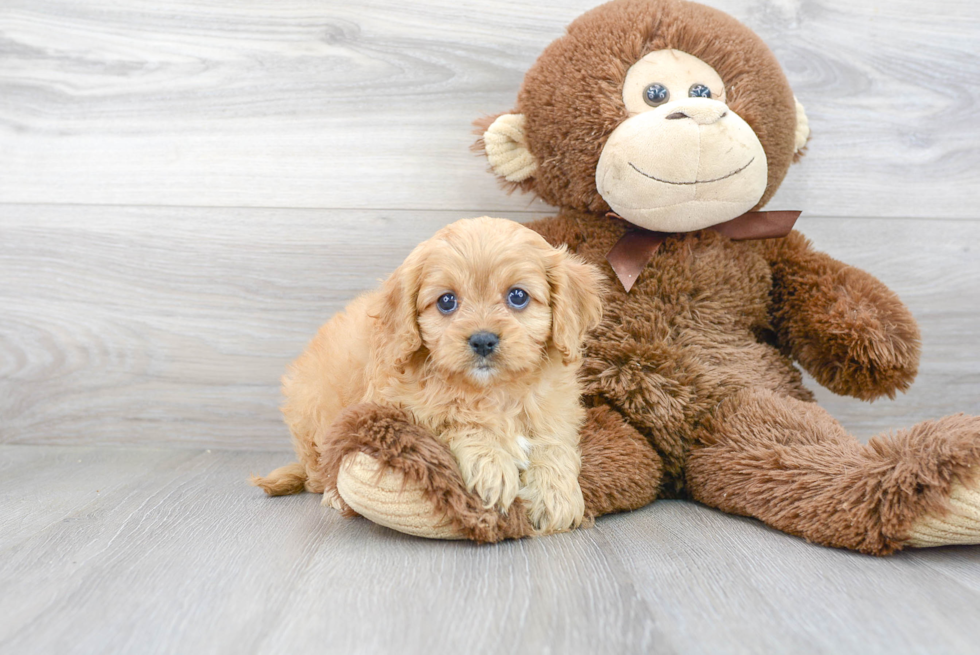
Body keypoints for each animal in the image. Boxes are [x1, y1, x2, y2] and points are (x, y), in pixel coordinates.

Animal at [253, 218, 604, 536]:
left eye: (518, 296)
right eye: (447, 301)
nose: (483, 340)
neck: (491, 390)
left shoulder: (555, 409)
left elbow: (554, 445)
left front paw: (554, 494)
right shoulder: (400, 407)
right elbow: (459, 420)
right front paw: (492, 464)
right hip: (312, 410)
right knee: (318, 473)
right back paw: (334, 496)